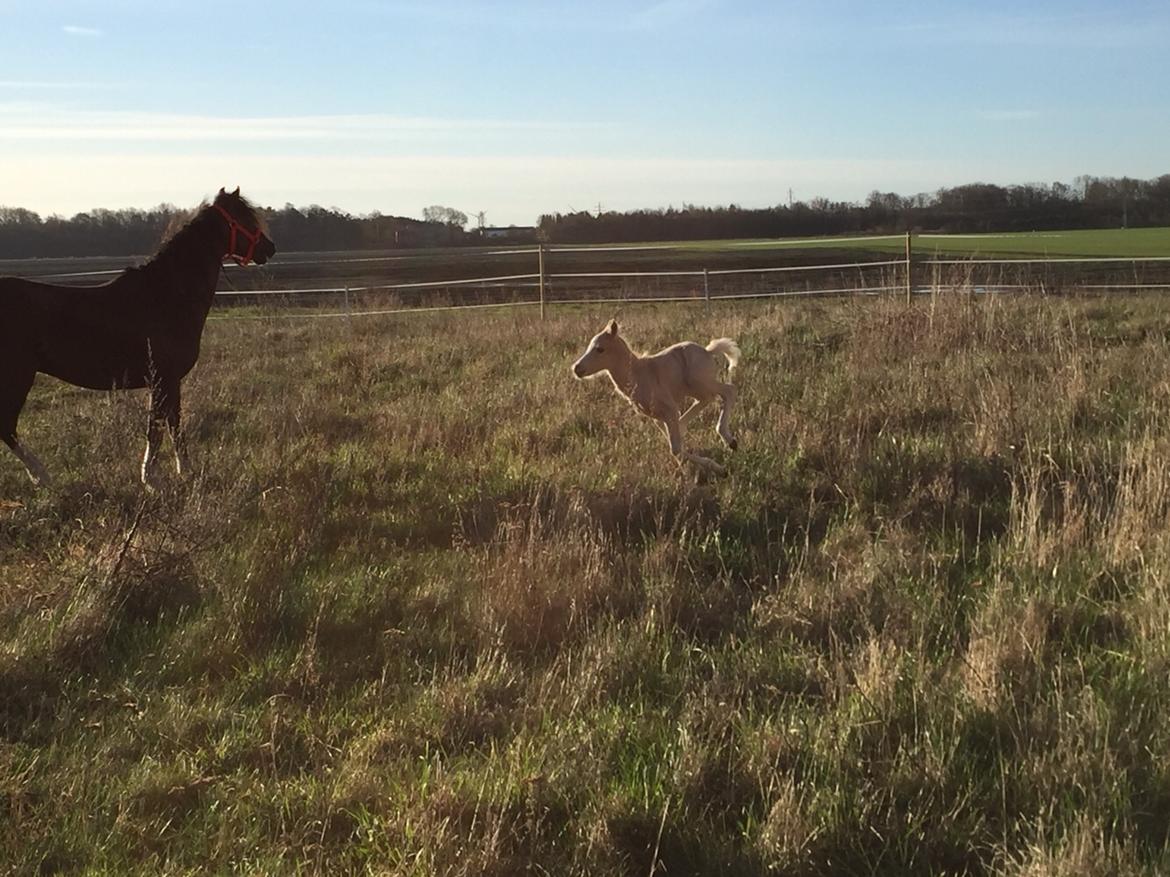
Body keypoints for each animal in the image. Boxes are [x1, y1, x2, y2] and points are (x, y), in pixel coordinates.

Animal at [0, 187, 276, 488]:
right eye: (244, 218)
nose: (270, 248)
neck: (164, 295)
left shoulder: (169, 381)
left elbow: (172, 424)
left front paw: (183, 470)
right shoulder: (164, 379)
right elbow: (157, 426)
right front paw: (152, 477)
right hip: (17, 377)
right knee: (7, 427)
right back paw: (42, 475)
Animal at [572, 320, 741, 474]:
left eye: (600, 349)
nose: (577, 369)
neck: (638, 374)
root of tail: (708, 351)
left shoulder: (669, 410)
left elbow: (675, 449)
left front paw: (718, 468)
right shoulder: (658, 417)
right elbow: (675, 447)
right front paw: (685, 468)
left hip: (701, 382)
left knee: (729, 391)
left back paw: (730, 441)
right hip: (694, 389)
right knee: (705, 400)